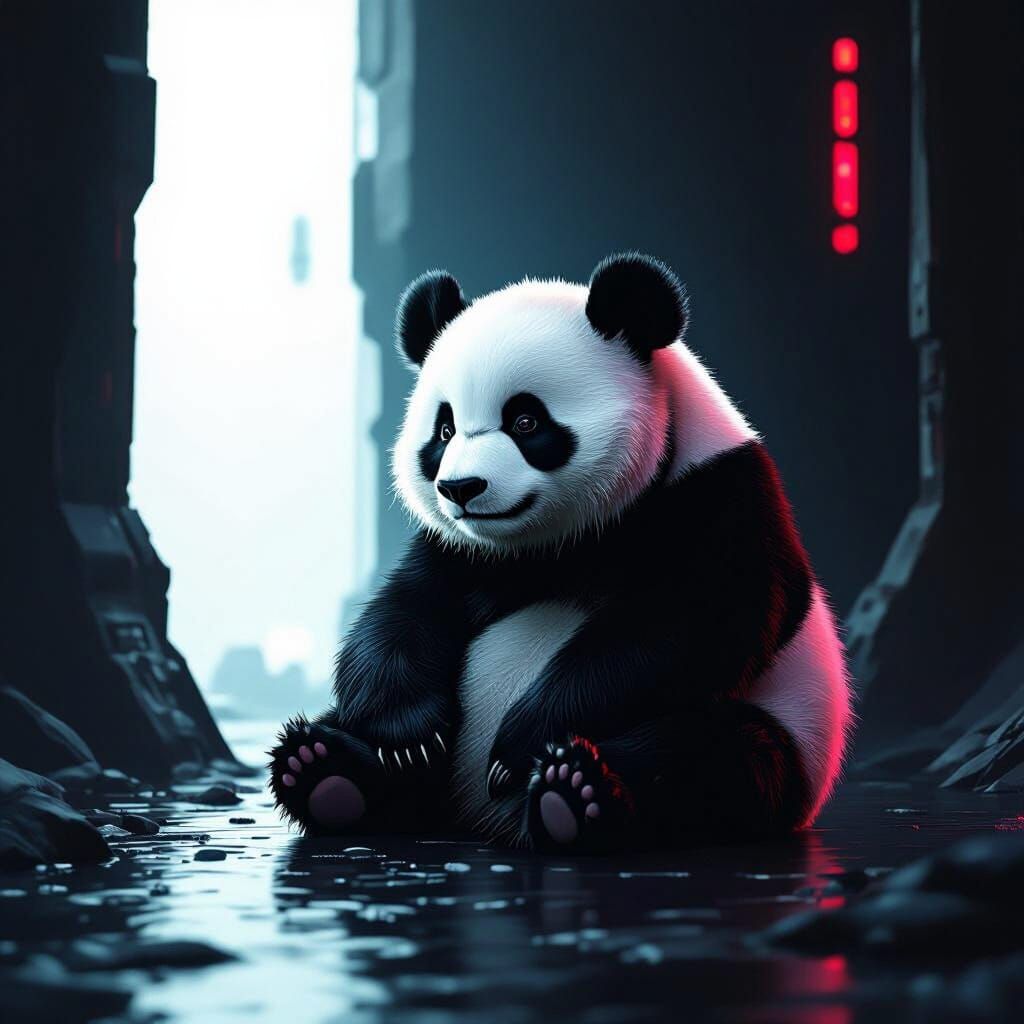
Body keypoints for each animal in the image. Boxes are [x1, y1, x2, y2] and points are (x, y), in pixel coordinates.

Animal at [269, 253, 852, 852]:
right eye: (445, 429)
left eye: (526, 421)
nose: (460, 488)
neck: (566, 541)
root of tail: (479, 818)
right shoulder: (463, 550)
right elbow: (406, 610)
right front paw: (407, 737)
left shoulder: (717, 497)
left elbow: (686, 626)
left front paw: (521, 743)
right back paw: (326, 769)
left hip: (789, 732)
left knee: (709, 758)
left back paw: (570, 794)